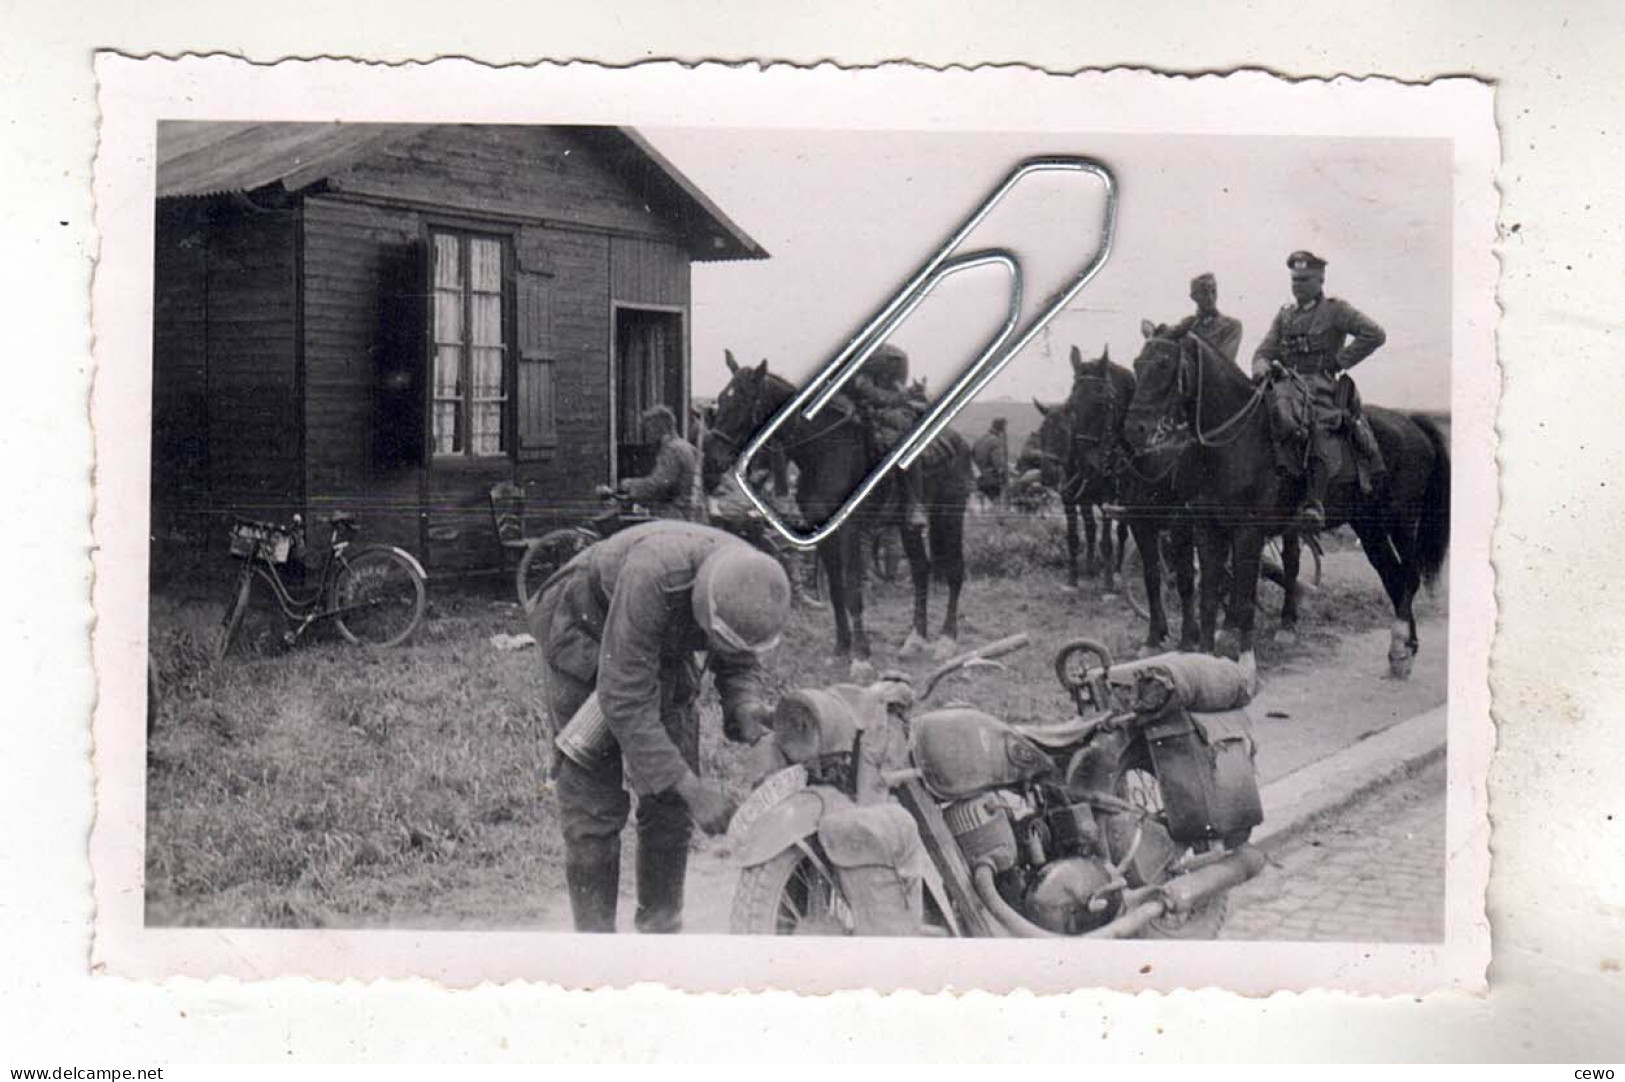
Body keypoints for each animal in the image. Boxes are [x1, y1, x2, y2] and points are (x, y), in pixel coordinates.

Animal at [702, 349, 975, 662]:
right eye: (721, 399)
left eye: (741, 402)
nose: (712, 460)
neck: (825, 452)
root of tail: (958, 441)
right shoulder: (822, 533)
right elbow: (835, 590)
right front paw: (842, 648)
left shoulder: (850, 530)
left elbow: (853, 588)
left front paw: (861, 656)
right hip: (908, 527)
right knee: (921, 569)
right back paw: (915, 638)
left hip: (950, 514)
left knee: (954, 569)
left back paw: (947, 639)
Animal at [1007, 342, 1137, 591]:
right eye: (1073, 406)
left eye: (1102, 404)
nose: (1049, 474)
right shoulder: (1070, 498)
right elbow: (1075, 537)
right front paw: (1073, 579)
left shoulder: (1108, 499)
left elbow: (1107, 540)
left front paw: (1108, 585)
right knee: (1091, 528)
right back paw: (1091, 568)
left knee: (1121, 531)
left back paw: (1115, 572)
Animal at [1124, 318, 1456, 675]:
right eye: (1137, 364)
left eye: (1163, 364)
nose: (1134, 430)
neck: (1233, 440)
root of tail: (1412, 423)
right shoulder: (1207, 527)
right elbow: (1209, 596)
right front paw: (1204, 657)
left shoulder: (1247, 532)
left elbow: (1243, 595)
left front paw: (1245, 661)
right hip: (1369, 527)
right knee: (1392, 575)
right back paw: (1404, 650)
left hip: (1402, 521)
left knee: (1408, 576)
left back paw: (1400, 648)